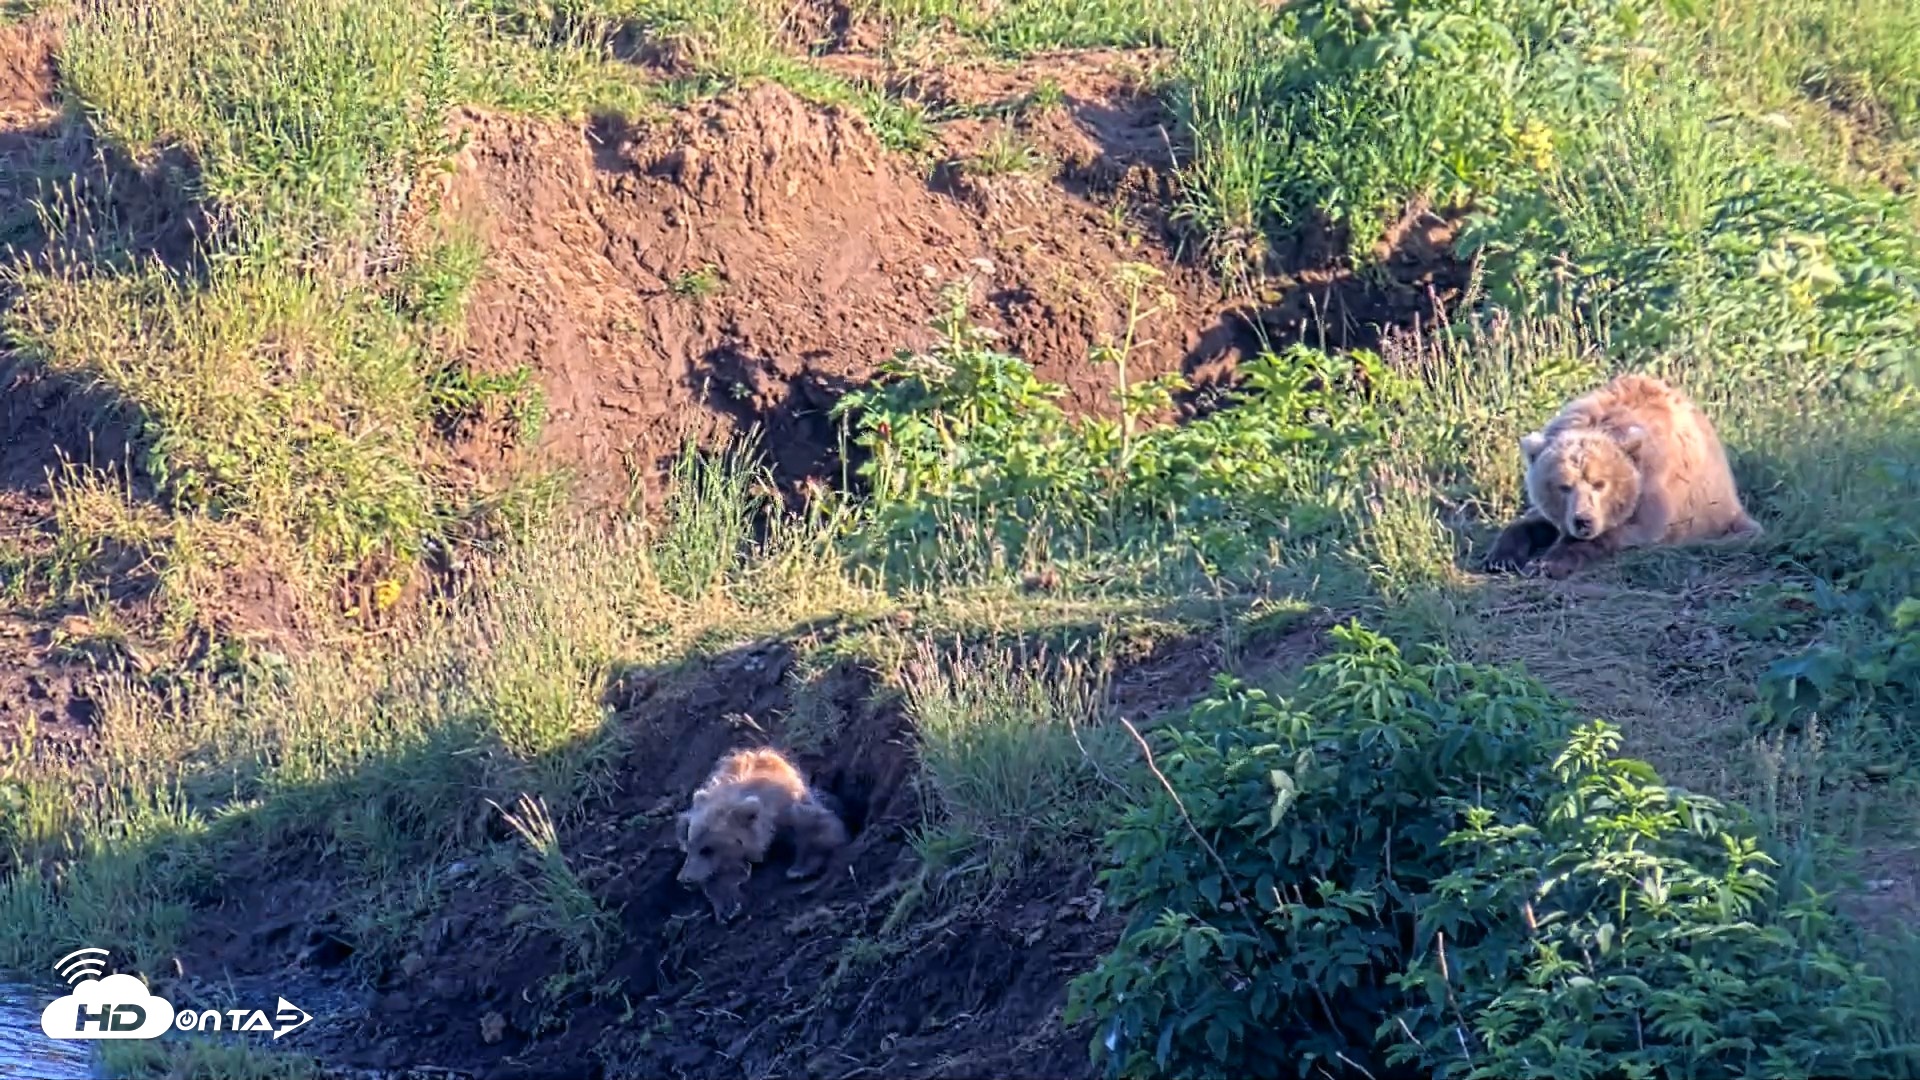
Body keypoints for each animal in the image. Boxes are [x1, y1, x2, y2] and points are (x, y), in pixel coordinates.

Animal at [675, 747, 849, 922]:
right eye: (690, 845)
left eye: (707, 849)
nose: (684, 879)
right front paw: (727, 906)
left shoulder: (788, 810)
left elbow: (814, 827)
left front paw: (799, 869)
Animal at [1485, 372, 1762, 579]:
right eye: (1564, 486)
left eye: (1599, 484)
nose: (1583, 521)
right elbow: (1533, 521)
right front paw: (1502, 558)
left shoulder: (1656, 499)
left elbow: (1616, 534)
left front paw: (1546, 564)